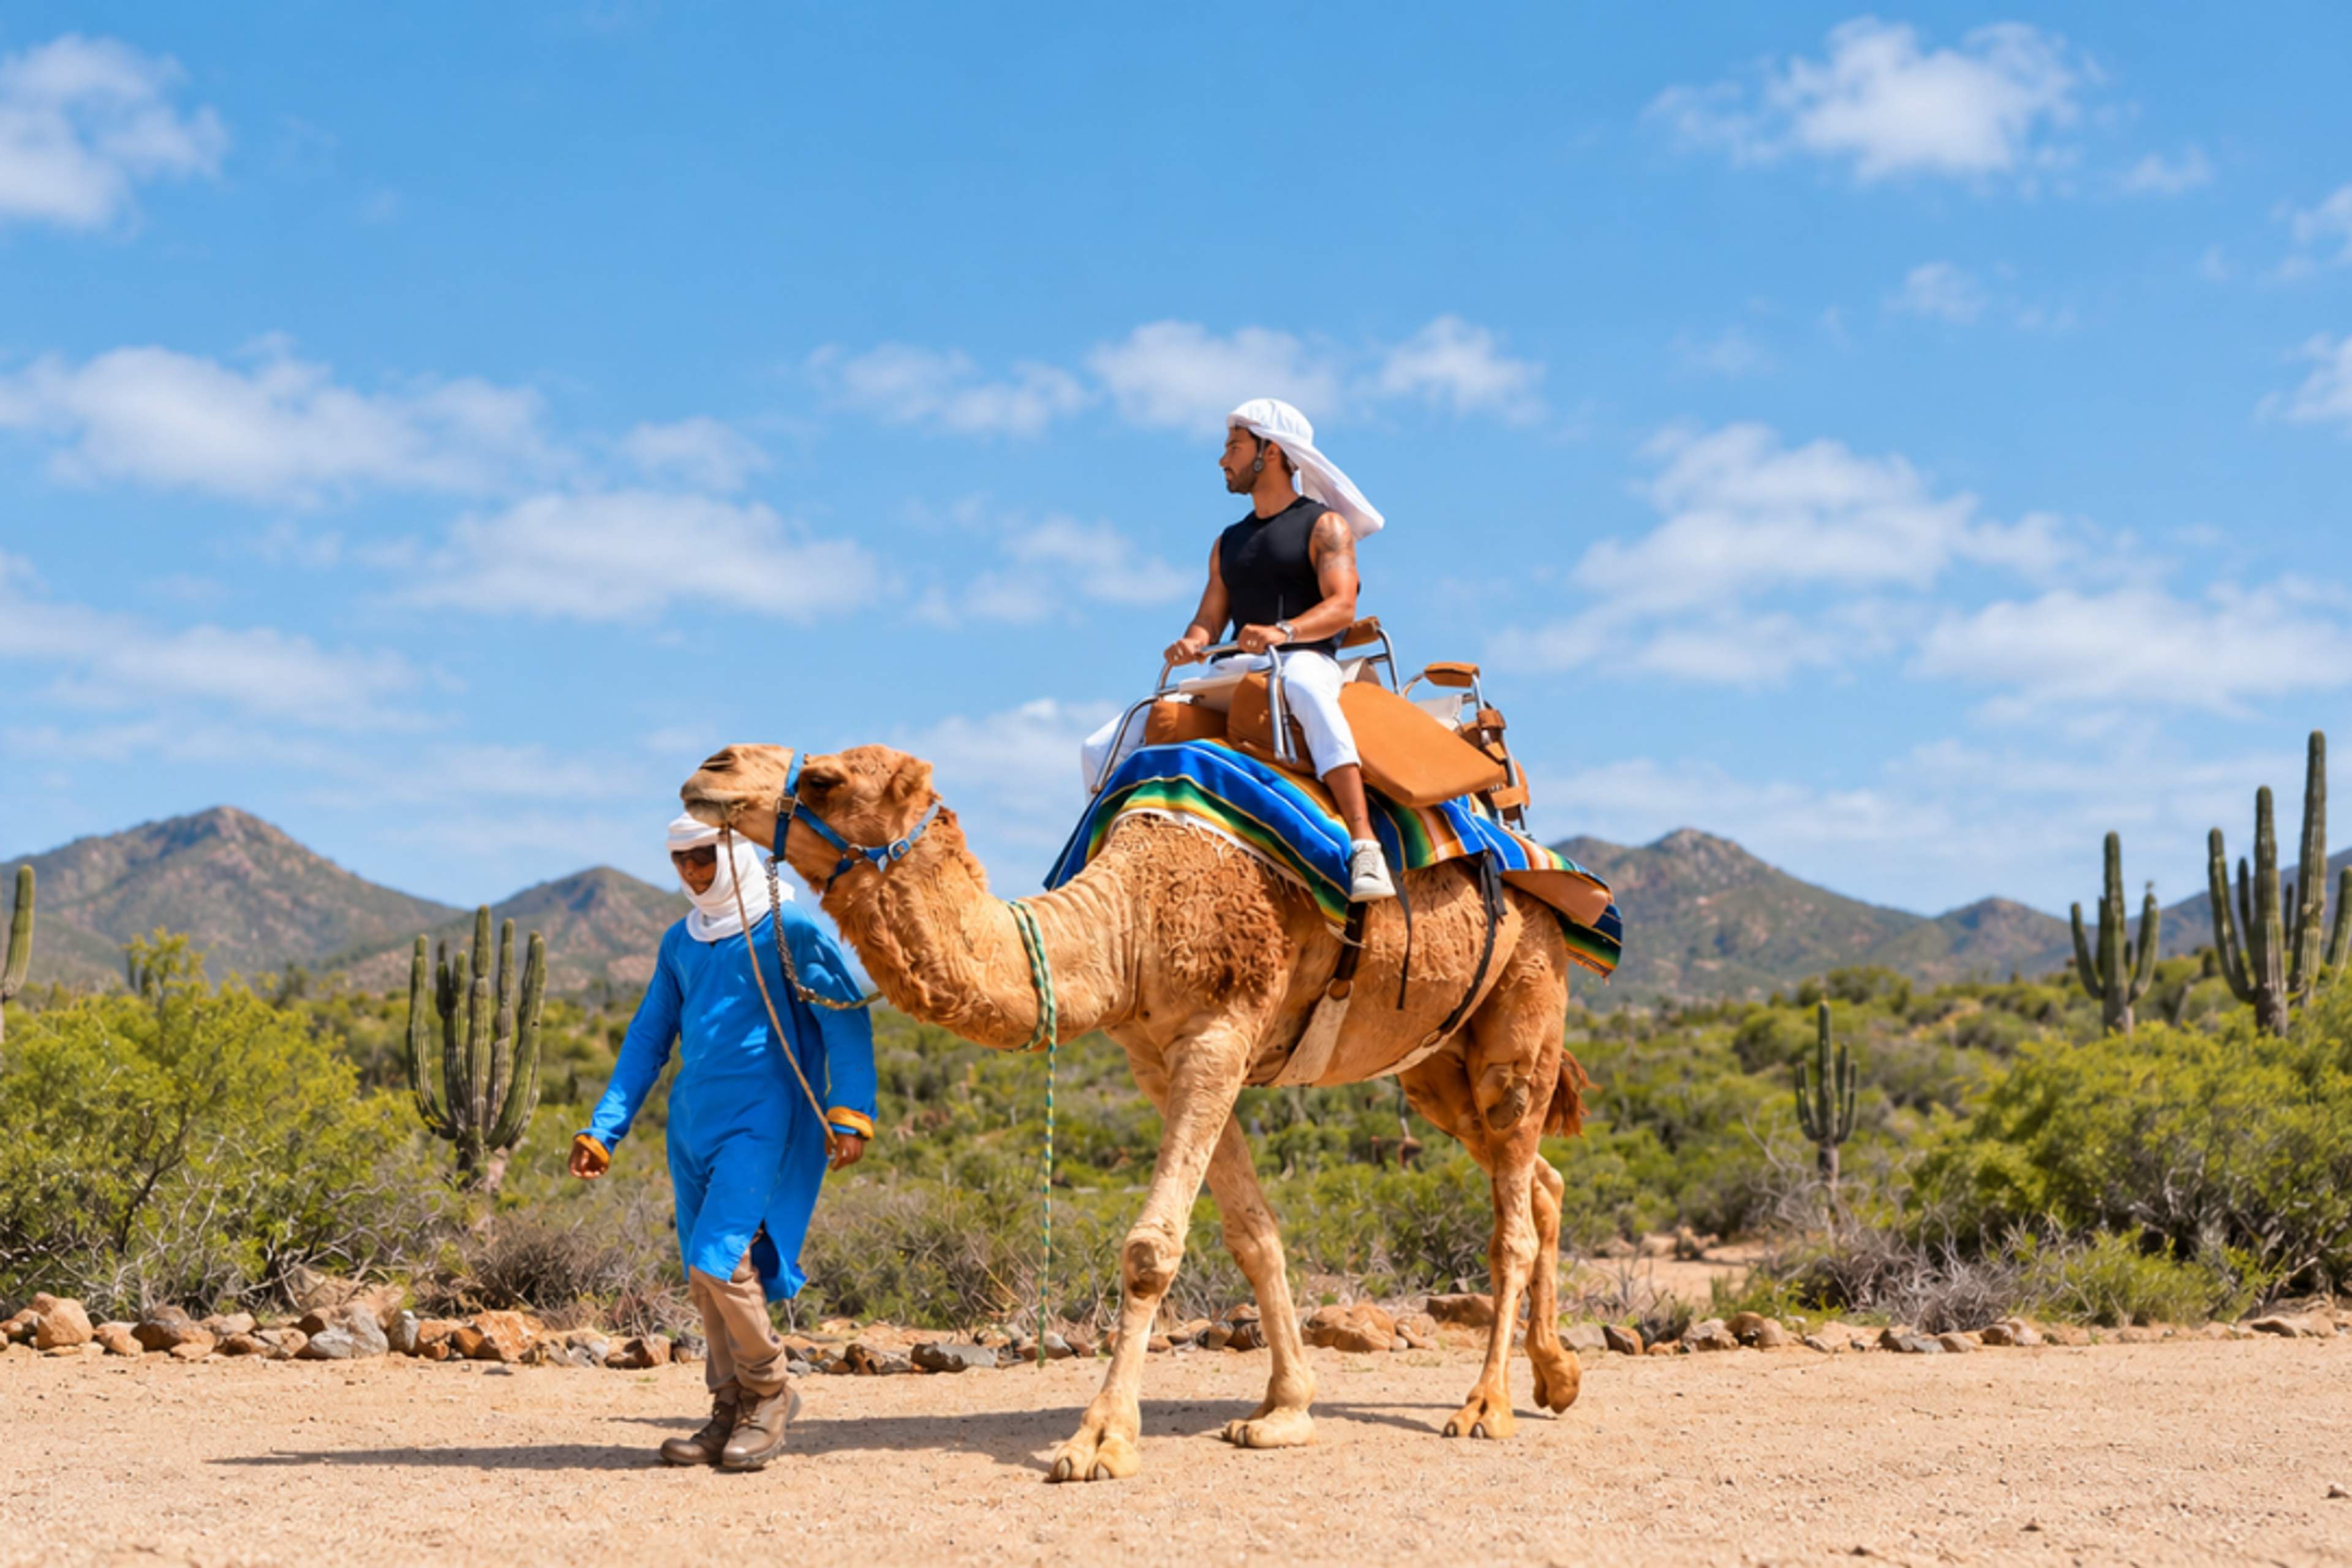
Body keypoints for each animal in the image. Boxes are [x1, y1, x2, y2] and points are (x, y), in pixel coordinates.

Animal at [681, 742, 1594, 1483]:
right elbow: (1254, 1236)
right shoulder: (1164, 1061)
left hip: (1524, 1003)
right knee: (1540, 1178)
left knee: (1510, 1213)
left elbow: (1152, 1249)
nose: (709, 769)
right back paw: (1557, 1377)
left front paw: (1099, 1441)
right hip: (1432, 1063)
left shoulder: (1218, 1035)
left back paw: (1487, 1406)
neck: (1128, 924)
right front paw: (1284, 1412)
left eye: (826, 780)